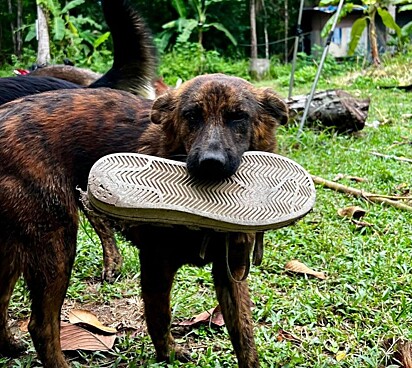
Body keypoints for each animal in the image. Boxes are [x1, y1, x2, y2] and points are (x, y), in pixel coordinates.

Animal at [0, 73, 288, 366]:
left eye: (238, 117)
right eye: (191, 116)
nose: (211, 163)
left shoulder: (233, 271)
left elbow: (245, 336)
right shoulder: (155, 262)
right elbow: (160, 316)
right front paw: (168, 353)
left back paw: (9, 345)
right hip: (57, 244)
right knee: (41, 325)